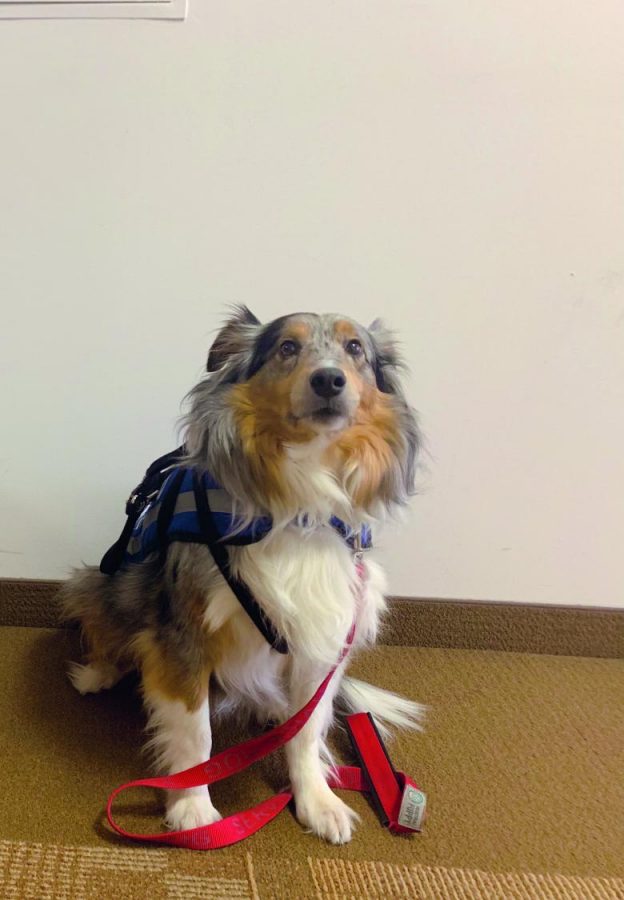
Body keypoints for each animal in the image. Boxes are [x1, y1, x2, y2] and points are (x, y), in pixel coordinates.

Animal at [62, 308, 424, 844]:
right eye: (287, 348)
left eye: (355, 348)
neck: (298, 505)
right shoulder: (183, 631)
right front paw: (192, 806)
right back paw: (98, 672)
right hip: (105, 584)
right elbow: (196, 734)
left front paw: (317, 801)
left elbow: (307, 731)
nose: (329, 380)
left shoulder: (325, 629)